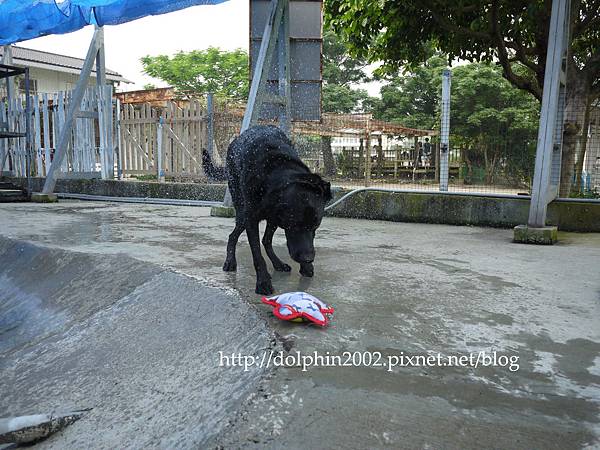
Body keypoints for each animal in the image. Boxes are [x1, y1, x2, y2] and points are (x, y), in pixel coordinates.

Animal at [222, 125, 332, 295]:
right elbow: (257, 255)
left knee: (266, 240)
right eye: (295, 225)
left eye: (316, 226)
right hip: (242, 213)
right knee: (233, 235)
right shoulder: (251, 219)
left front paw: (306, 266)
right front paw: (263, 282)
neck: (281, 170)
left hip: (273, 218)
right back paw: (230, 261)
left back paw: (278, 263)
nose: (308, 259)